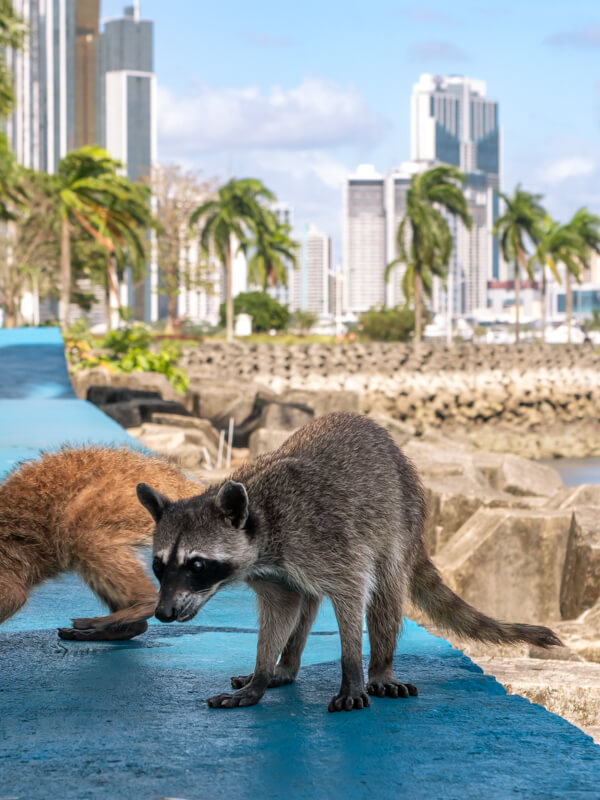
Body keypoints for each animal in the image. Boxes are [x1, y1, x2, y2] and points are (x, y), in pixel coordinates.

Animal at [139, 412, 561, 712]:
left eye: (196, 565)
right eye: (159, 566)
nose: (163, 613)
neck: (261, 518)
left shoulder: (326, 540)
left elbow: (354, 593)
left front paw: (353, 671)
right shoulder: (272, 572)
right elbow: (282, 608)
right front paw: (261, 673)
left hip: (401, 520)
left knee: (386, 593)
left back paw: (380, 667)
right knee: (306, 601)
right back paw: (285, 666)